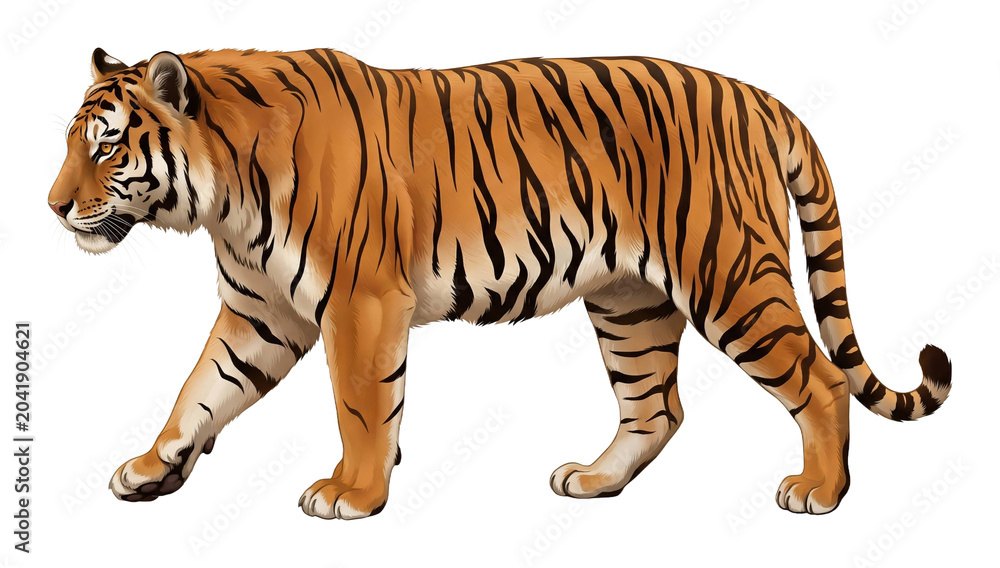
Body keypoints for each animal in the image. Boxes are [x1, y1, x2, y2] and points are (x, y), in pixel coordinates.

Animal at [48, 47, 952, 519]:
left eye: (105, 145)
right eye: (70, 142)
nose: (53, 207)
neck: (221, 196)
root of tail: (760, 97)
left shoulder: (359, 303)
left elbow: (360, 406)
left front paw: (353, 493)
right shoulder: (259, 312)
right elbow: (199, 392)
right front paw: (152, 468)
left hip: (730, 276)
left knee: (821, 380)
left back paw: (819, 492)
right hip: (630, 303)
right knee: (656, 407)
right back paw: (594, 480)